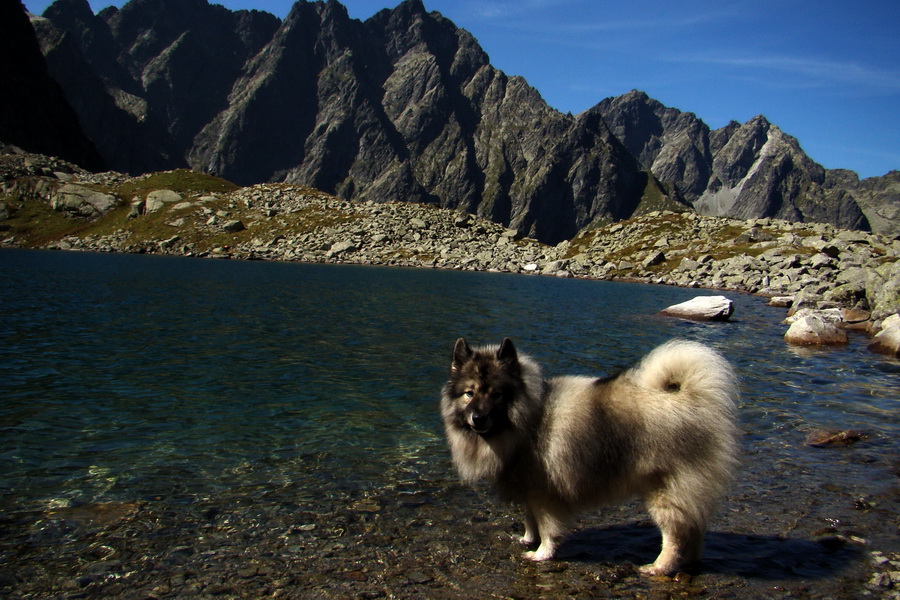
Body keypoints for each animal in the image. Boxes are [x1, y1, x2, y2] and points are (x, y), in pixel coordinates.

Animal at [438, 338, 740, 576]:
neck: (528, 420)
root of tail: (690, 399)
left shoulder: (545, 494)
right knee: (695, 530)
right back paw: (688, 563)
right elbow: (529, 520)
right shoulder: (529, 490)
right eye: (469, 393)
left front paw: (542, 553)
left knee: (676, 535)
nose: (478, 418)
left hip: (665, 492)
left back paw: (659, 567)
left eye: (497, 394)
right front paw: (526, 539)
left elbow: (547, 527)